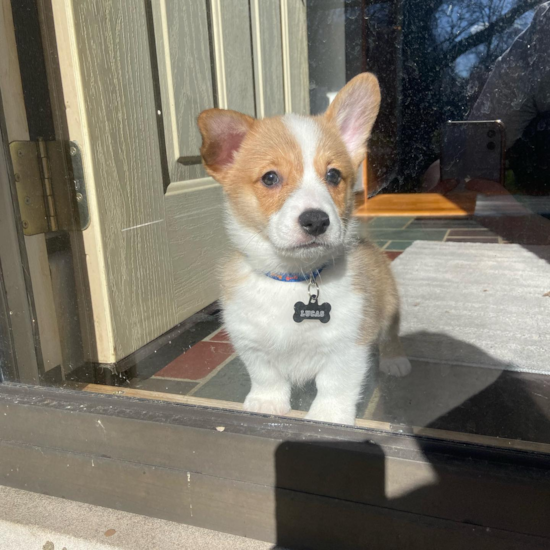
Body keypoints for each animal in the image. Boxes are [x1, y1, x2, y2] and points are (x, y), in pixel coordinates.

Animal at [197, 73, 410, 426]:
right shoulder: (249, 340)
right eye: (270, 178)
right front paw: (265, 404)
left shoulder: (348, 344)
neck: (294, 277)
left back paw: (395, 361)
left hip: (390, 303)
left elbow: (335, 384)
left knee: (391, 335)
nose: (316, 221)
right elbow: (266, 375)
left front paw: (328, 417)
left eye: (333, 175)